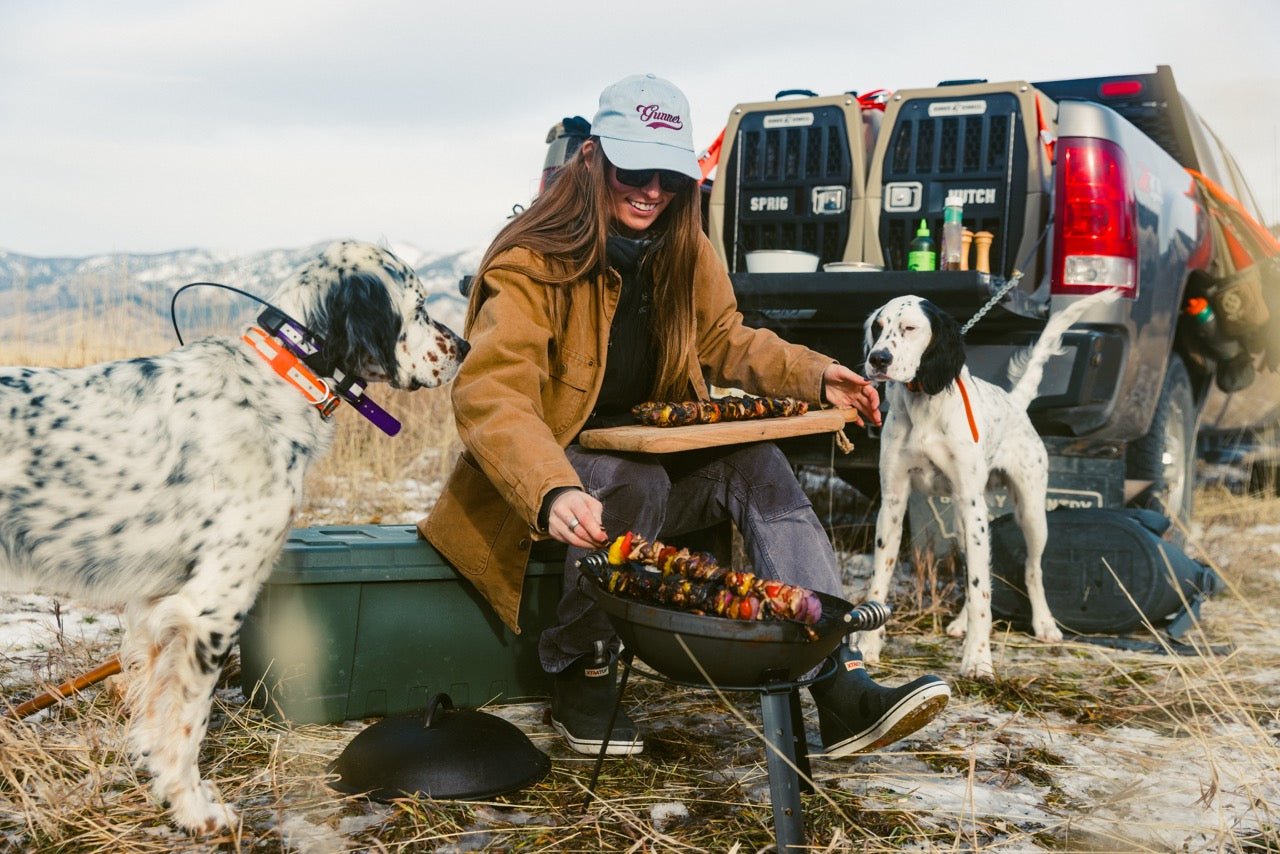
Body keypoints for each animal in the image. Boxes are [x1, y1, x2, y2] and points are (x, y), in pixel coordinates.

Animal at [0, 240, 465, 834]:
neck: (283, 378)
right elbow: (188, 725)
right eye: (421, 305)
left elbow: (158, 718)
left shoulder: (157, 608)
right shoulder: (212, 607)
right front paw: (195, 811)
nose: (465, 345)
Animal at [860, 294, 1121, 681]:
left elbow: (982, 591)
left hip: (1029, 513)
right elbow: (880, 581)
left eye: (909, 328)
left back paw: (1044, 624)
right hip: (964, 523)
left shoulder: (973, 507)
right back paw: (959, 624)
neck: (925, 407)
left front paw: (978, 660)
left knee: (1031, 570)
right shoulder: (893, 504)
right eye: (878, 328)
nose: (878, 359)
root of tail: (1015, 403)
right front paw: (867, 647)